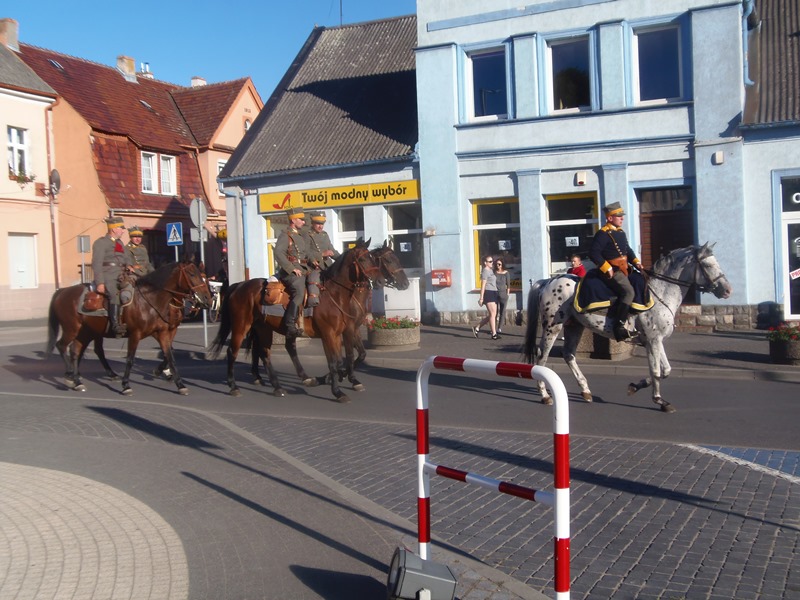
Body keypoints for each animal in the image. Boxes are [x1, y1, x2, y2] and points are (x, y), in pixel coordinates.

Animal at [46, 261, 211, 395]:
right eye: (192, 274)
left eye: (204, 277)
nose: (207, 299)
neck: (150, 300)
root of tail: (62, 291)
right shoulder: (136, 334)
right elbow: (131, 359)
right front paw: (126, 385)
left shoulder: (163, 332)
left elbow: (170, 355)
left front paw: (179, 383)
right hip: (72, 329)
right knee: (62, 346)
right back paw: (71, 375)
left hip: (87, 332)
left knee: (78, 351)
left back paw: (78, 379)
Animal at [209, 241, 394, 403]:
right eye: (362, 259)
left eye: (373, 258)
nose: (380, 281)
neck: (334, 295)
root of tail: (239, 285)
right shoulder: (329, 334)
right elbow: (334, 362)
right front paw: (337, 391)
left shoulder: (340, 333)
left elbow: (343, 359)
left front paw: (337, 380)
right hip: (241, 326)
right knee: (232, 352)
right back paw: (234, 387)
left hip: (263, 328)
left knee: (265, 352)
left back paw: (278, 386)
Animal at [522, 244, 732, 413]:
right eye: (708, 265)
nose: (727, 290)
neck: (659, 294)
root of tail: (548, 281)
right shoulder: (653, 340)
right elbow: (657, 372)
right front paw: (659, 401)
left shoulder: (655, 341)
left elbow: (664, 370)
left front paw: (635, 387)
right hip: (553, 326)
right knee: (542, 356)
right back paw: (545, 395)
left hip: (575, 326)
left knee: (569, 355)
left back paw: (585, 391)